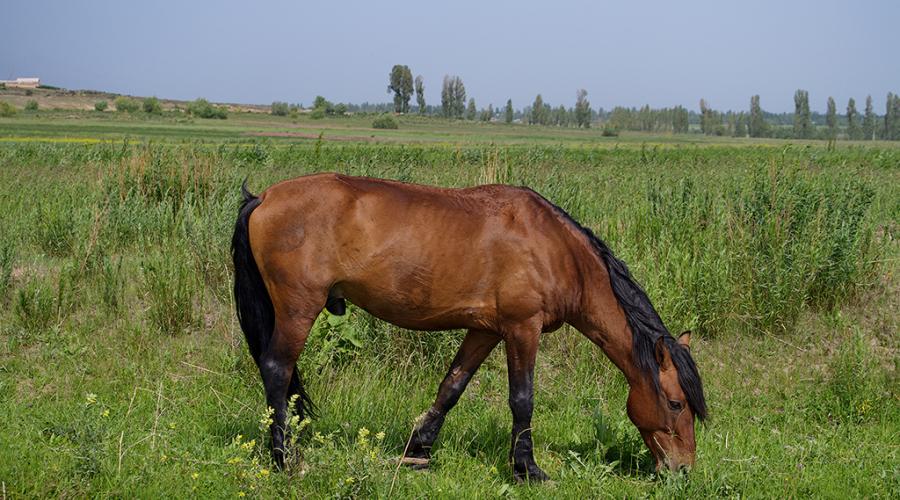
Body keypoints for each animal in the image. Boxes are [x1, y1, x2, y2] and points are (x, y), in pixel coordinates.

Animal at [229, 173, 708, 480]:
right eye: (676, 403)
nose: (682, 471)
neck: (553, 248)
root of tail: (263, 197)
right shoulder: (522, 329)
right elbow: (522, 400)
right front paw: (528, 469)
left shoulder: (486, 331)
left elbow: (452, 386)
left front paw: (418, 450)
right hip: (298, 308)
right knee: (277, 369)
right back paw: (284, 458)